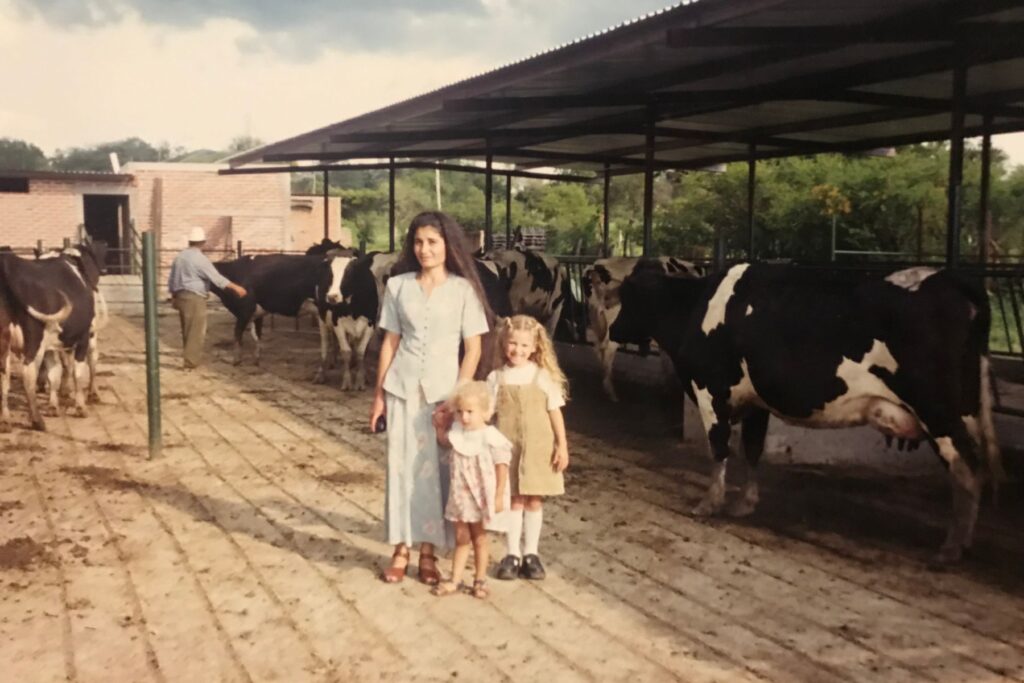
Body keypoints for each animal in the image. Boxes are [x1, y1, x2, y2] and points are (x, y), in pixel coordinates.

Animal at [610, 264, 1003, 565]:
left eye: (629, 299)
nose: (613, 330)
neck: (695, 308)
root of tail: (950, 279)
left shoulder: (710, 391)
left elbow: (719, 448)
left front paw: (710, 502)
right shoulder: (756, 403)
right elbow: (752, 450)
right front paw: (745, 503)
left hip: (938, 412)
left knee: (965, 468)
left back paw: (950, 549)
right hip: (966, 412)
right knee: (975, 469)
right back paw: (962, 541)